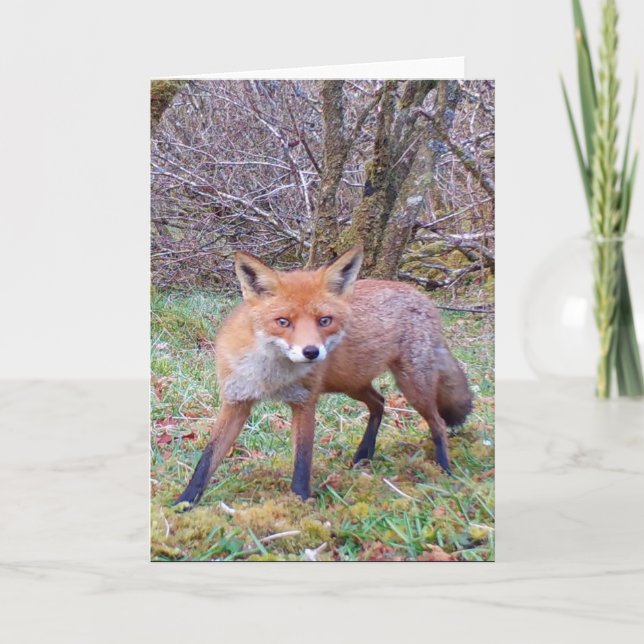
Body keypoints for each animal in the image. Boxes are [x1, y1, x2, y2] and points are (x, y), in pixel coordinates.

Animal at [176, 245, 472, 505]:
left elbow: (302, 459)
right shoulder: (236, 400)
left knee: (437, 423)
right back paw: (364, 454)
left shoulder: (304, 402)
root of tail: (422, 297)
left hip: (412, 386)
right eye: (283, 322)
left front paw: (299, 504)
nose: (311, 352)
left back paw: (444, 469)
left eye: (324, 321)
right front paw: (184, 503)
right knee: (380, 402)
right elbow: (207, 458)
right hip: (352, 384)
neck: (271, 376)